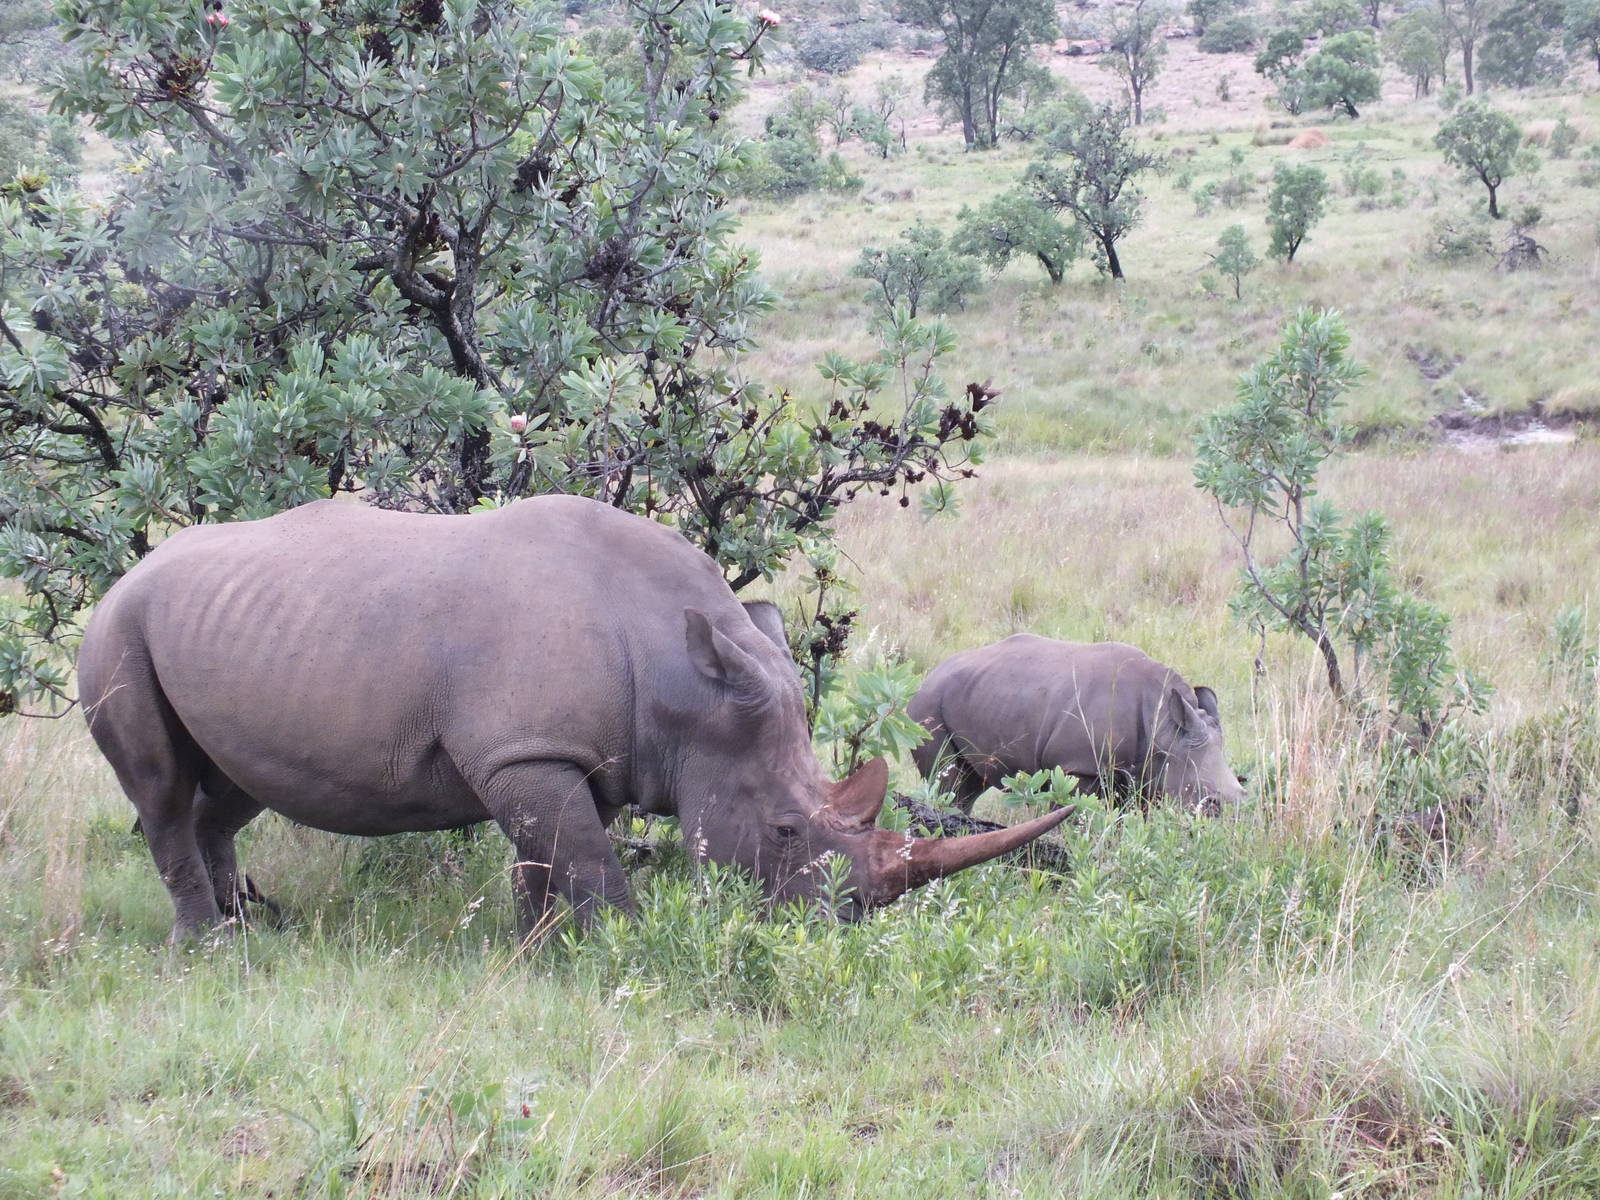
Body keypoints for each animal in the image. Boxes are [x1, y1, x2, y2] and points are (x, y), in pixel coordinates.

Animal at [78, 496, 1069, 939]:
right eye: (787, 830)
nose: (848, 919)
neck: (682, 677)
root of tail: (121, 577)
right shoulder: (527, 752)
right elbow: (587, 859)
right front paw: (626, 947)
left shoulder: (555, 756)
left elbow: (544, 855)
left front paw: (532, 947)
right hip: (118, 632)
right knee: (160, 788)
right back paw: (207, 945)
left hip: (229, 632)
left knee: (232, 787)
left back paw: (246, 931)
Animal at [908, 635, 1245, 815]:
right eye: (1210, 800)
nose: (1233, 827)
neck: (1163, 726)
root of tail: (926, 678)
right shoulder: (1078, 766)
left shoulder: (1146, 774)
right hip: (927, 710)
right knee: (948, 780)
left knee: (969, 785)